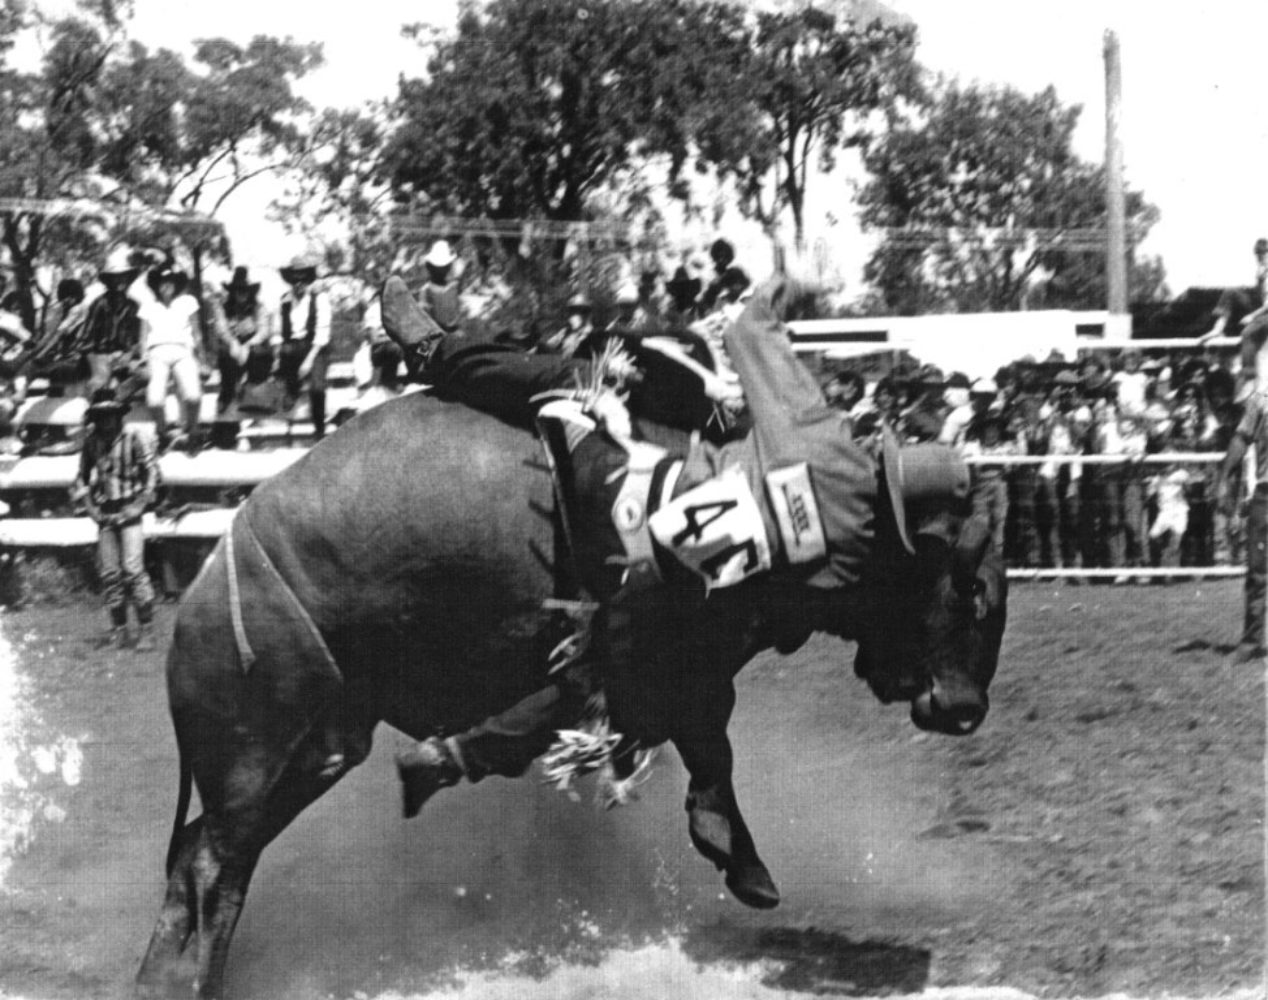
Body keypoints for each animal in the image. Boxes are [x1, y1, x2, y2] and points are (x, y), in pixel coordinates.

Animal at [136, 297, 1009, 998]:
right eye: (972, 589)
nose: (966, 709)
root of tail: (213, 573)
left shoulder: (672, 664)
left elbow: (700, 745)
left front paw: (737, 857)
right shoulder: (647, 648)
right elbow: (657, 731)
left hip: (318, 748)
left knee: (196, 858)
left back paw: (158, 978)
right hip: (255, 747)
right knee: (215, 866)